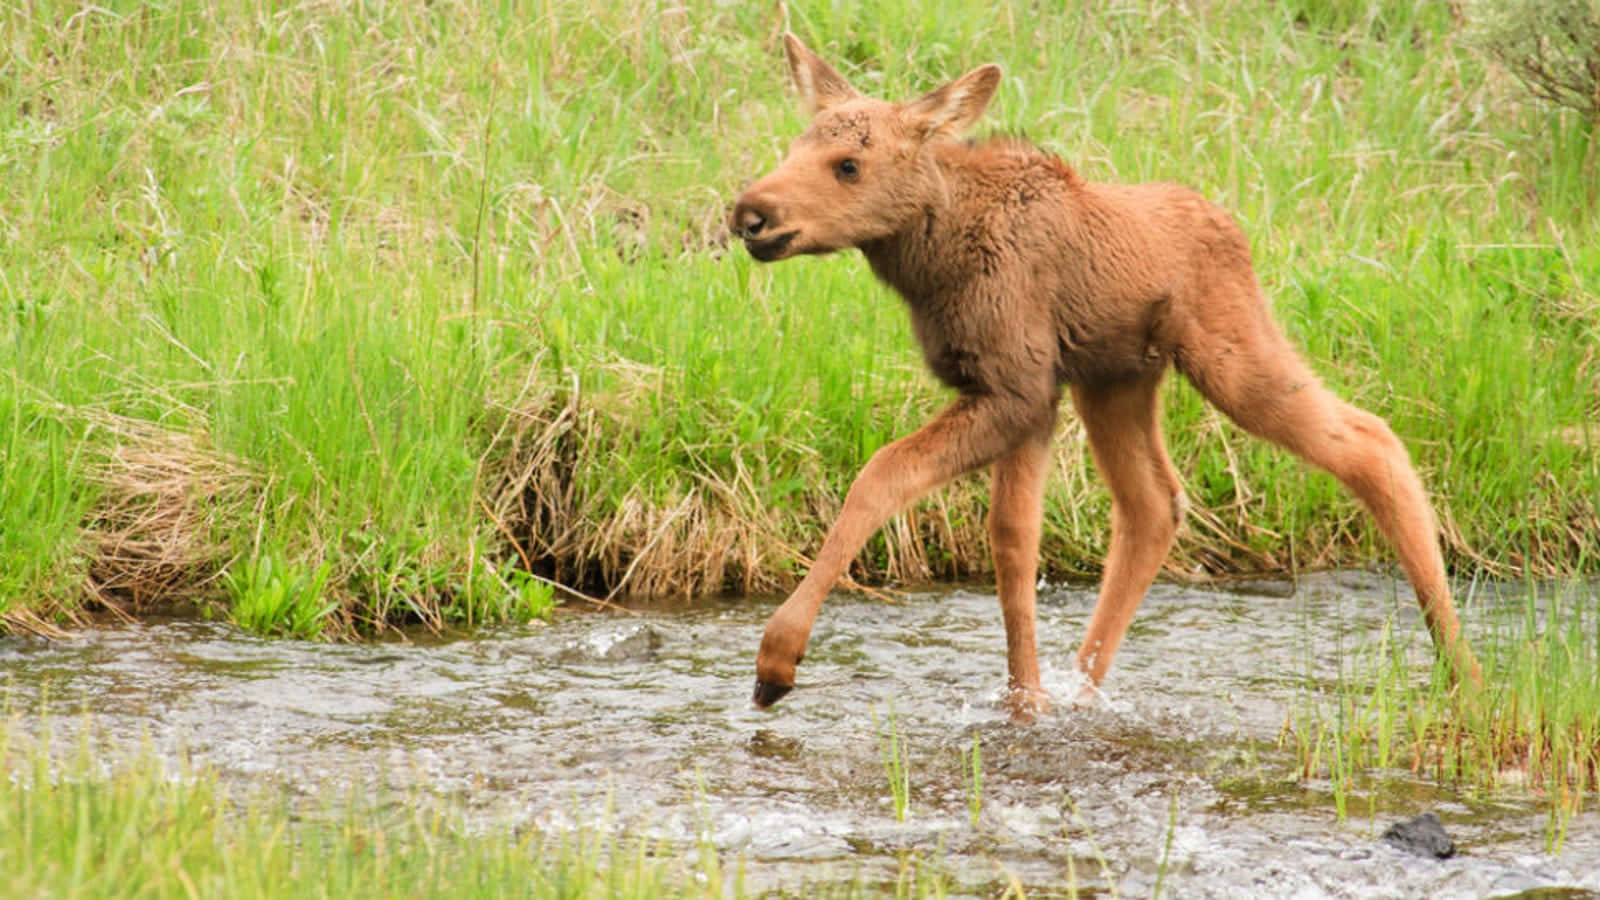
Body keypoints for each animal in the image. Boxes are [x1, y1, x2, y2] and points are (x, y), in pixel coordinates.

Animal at [732, 35, 1478, 717]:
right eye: (792, 148)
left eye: (848, 165)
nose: (750, 213)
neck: (929, 262)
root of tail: (1232, 227)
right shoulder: (1028, 396)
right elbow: (1013, 540)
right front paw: (1027, 701)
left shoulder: (1016, 389)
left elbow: (880, 475)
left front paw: (777, 661)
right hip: (1116, 380)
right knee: (1155, 504)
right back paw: (1087, 690)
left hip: (1229, 356)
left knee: (1370, 440)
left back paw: (1460, 667)